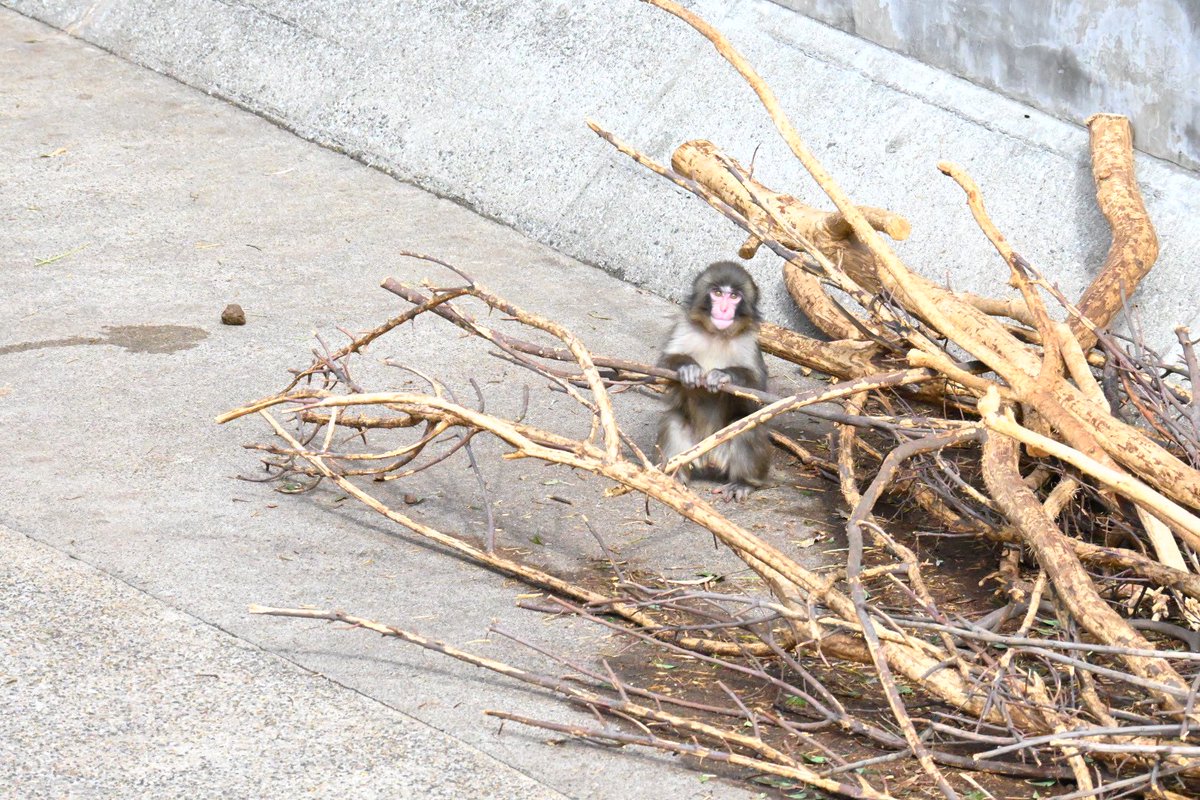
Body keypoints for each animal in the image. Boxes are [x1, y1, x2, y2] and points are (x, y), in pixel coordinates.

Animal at [656, 261, 770, 501]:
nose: (724, 309)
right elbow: (661, 369)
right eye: (717, 293)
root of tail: (709, 456)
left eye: (734, 296)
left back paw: (743, 483)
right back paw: (674, 476)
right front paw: (688, 369)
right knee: (673, 421)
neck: (718, 334)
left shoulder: (750, 342)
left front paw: (723, 375)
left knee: (746, 426)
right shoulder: (683, 328)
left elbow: (758, 394)